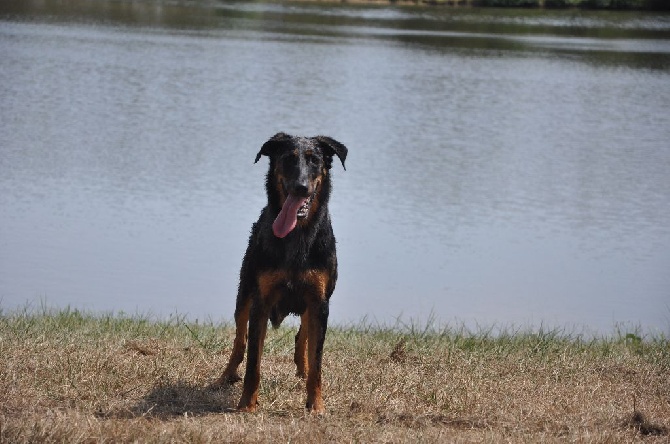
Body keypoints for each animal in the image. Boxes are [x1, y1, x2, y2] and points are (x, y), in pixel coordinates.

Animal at [218, 131, 350, 412]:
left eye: (314, 160)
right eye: (288, 159)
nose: (300, 187)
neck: (296, 235)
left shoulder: (319, 302)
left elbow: (317, 360)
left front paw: (316, 405)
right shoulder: (261, 301)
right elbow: (253, 361)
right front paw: (247, 405)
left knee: (304, 337)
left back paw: (302, 367)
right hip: (244, 291)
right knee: (240, 340)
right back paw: (226, 375)